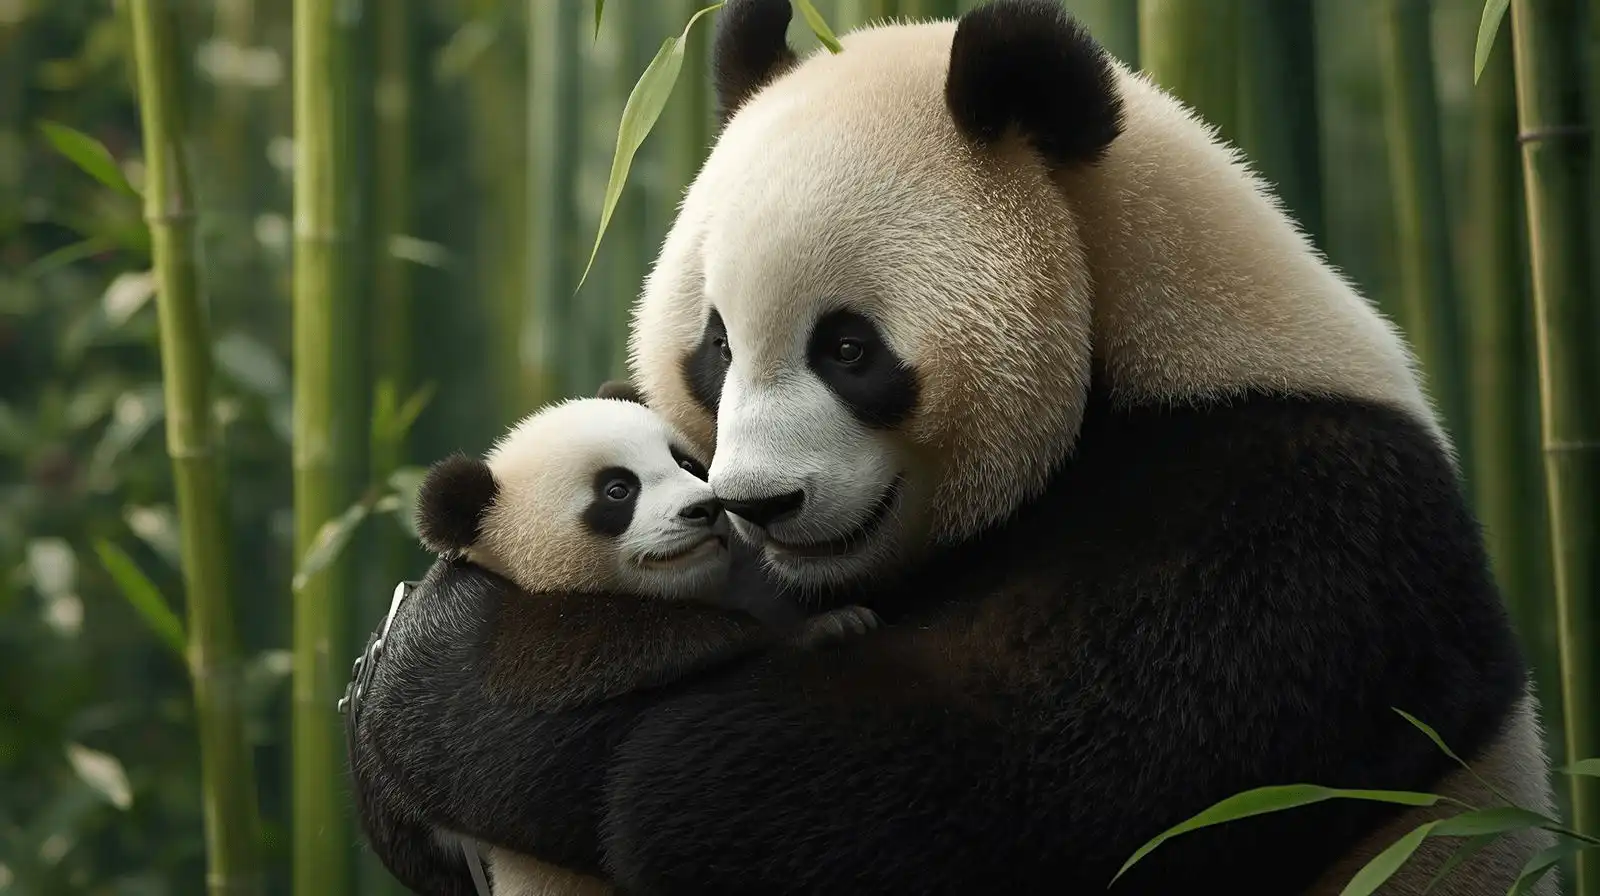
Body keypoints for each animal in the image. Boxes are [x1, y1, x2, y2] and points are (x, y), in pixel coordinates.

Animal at [349, 393, 878, 896]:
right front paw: (821, 627)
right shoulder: (515, 645)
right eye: (618, 490)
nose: (704, 508)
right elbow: (587, 652)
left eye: (688, 464)